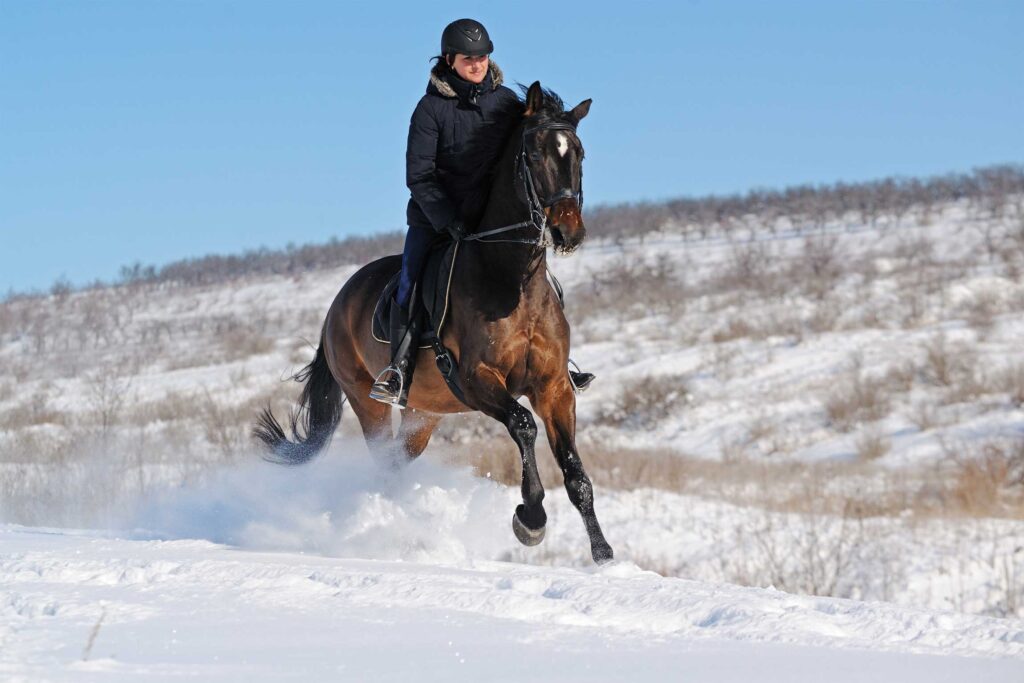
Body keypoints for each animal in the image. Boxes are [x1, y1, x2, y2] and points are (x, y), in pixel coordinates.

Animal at [252, 81, 610, 565]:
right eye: (534, 155)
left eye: (579, 153)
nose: (567, 232)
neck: (511, 279)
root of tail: (336, 305)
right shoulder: (478, 379)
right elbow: (523, 425)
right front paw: (530, 519)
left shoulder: (554, 386)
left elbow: (575, 472)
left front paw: (604, 555)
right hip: (368, 400)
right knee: (384, 460)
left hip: (423, 414)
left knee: (398, 459)